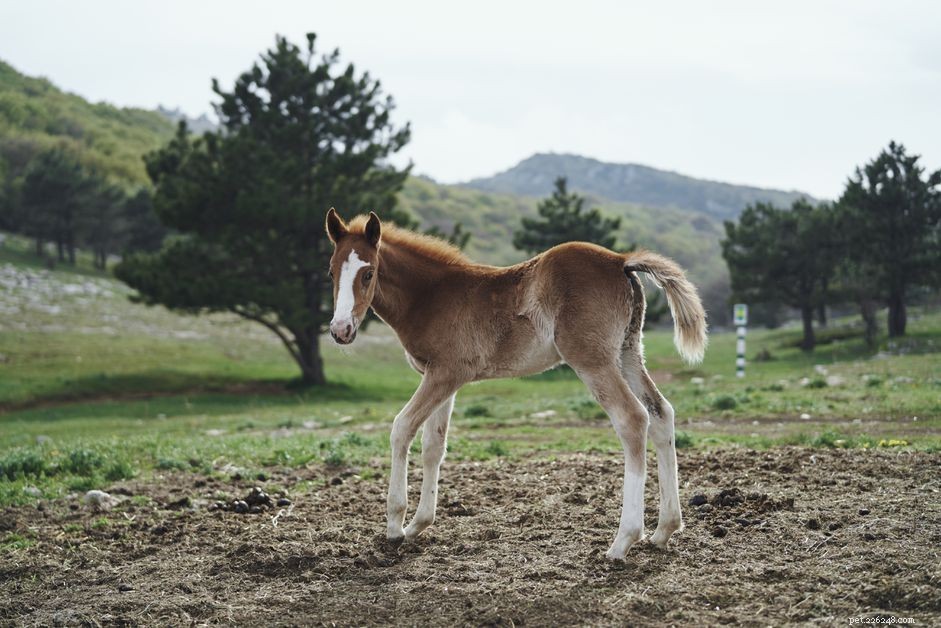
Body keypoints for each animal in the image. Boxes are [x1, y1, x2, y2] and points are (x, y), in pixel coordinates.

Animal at [325, 208, 707, 560]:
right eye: (331, 271)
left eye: (368, 273)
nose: (340, 330)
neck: (431, 296)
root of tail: (620, 261)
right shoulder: (441, 378)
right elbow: (433, 445)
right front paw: (419, 524)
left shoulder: (445, 373)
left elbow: (401, 428)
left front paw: (394, 526)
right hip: (628, 352)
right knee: (661, 414)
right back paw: (664, 530)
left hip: (592, 360)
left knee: (632, 419)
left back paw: (622, 541)